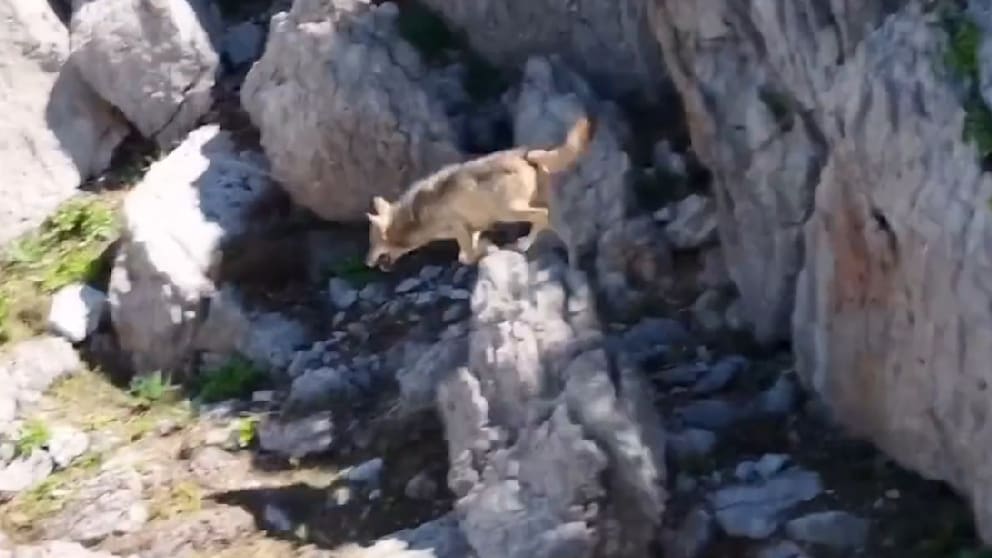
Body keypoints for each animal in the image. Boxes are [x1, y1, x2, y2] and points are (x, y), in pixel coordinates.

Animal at [364, 116, 593, 271]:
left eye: (373, 243)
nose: (366, 262)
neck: (416, 216)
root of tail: (527, 154)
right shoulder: (472, 230)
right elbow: (465, 255)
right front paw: (487, 248)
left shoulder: (459, 227)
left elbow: (469, 256)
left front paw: (488, 250)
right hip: (535, 210)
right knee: (564, 230)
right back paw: (574, 265)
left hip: (509, 212)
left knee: (542, 217)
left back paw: (523, 244)